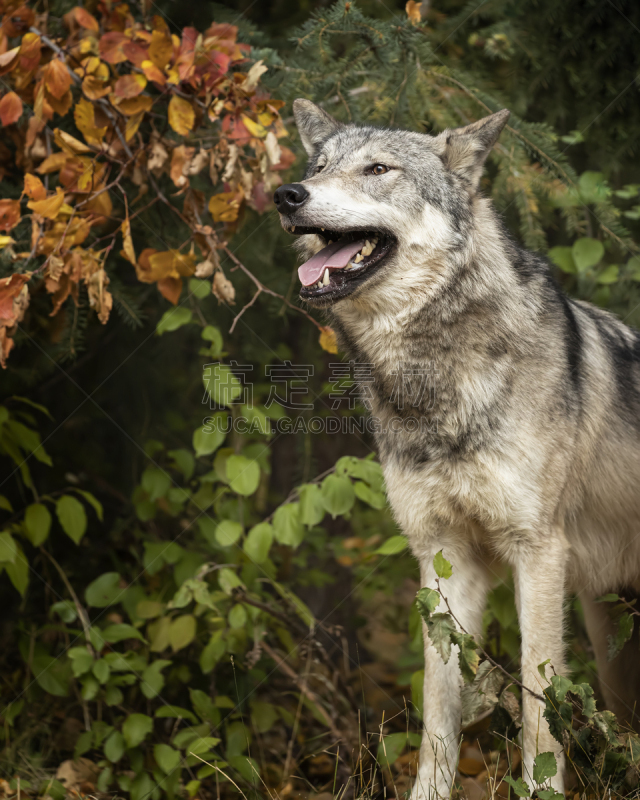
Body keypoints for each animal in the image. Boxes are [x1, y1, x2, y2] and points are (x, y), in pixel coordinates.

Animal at [274, 100, 640, 800]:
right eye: (319, 165)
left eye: (378, 169)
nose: (287, 194)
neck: (433, 382)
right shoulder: (443, 556)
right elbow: (438, 705)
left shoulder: (538, 552)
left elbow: (538, 703)